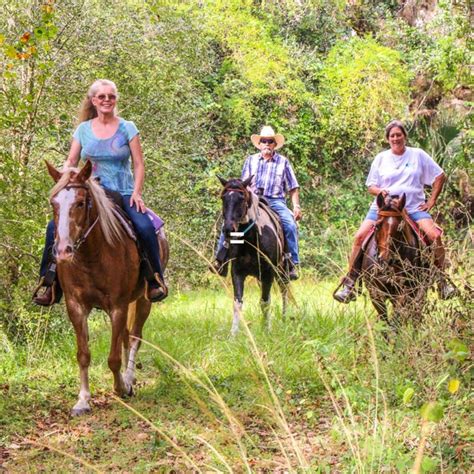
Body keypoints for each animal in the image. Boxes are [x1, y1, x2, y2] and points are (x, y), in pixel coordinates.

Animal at [45, 160, 168, 414]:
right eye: (54, 203)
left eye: (81, 203)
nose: (62, 252)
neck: (91, 256)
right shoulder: (76, 306)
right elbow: (83, 354)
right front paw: (83, 400)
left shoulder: (118, 307)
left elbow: (113, 358)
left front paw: (121, 387)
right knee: (126, 337)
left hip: (143, 300)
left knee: (135, 337)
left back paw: (129, 380)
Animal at [218, 176, 288, 336]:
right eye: (223, 197)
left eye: (242, 198)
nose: (228, 229)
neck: (251, 239)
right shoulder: (237, 272)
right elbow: (237, 303)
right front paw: (233, 334)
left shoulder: (268, 272)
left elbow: (265, 302)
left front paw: (266, 330)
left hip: (282, 272)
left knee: (283, 292)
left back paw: (284, 318)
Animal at [360, 193, 434, 334]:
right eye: (377, 226)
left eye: (400, 229)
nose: (385, 259)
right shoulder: (375, 292)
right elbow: (384, 321)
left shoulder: (406, 292)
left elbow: (397, 321)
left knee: (416, 314)